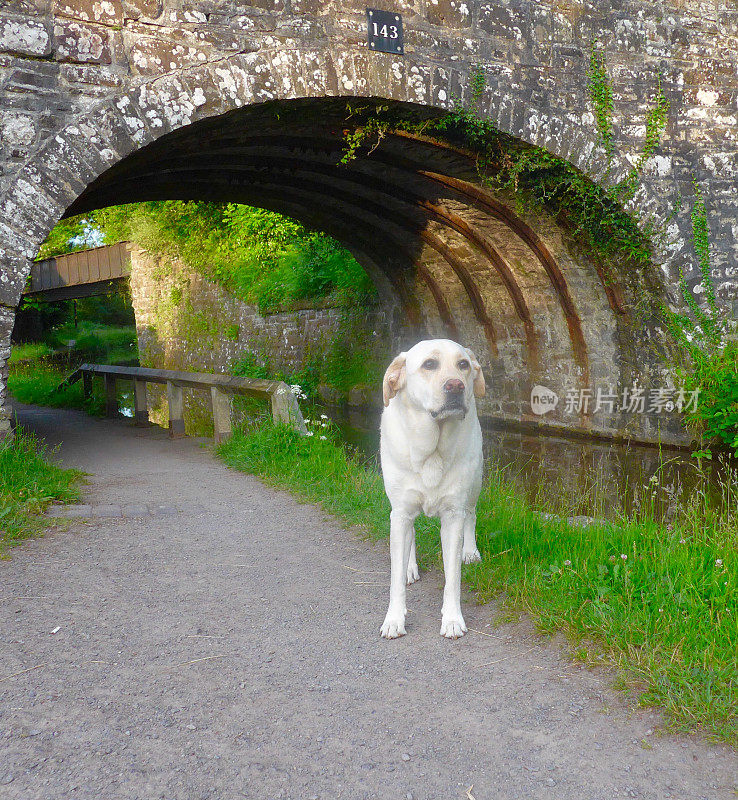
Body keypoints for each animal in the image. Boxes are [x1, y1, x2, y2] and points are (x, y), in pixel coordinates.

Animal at [380, 338, 484, 636]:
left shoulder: (453, 515)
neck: (432, 449)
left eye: (463, 364)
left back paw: (470, 552)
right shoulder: (400, 512)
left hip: (475, 481)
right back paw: (410, 567)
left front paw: (452, 618)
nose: (456, 385)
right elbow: (395, 580)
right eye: (429, 364)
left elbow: (453, 578)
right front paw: (394, 619)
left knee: (471, 515)